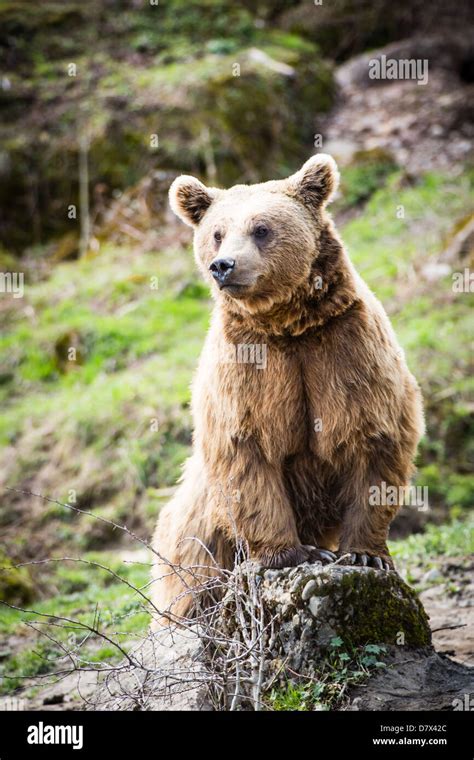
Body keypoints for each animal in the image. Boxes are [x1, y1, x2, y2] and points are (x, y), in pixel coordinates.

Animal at [150, 153, 424, 624]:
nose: (223, 265)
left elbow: (374, 441)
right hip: (194, 527)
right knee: (194, 572)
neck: (288, 325)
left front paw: (365, 554)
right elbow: (248, 454)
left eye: (261, 228)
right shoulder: (248, 372)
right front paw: (292, 553)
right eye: (217, 233)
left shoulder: (346, 351)